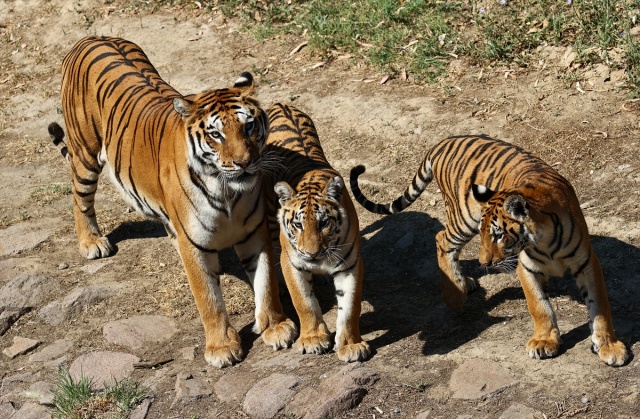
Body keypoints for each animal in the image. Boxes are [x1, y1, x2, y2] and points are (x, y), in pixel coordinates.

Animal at [48, 37, 298, 370]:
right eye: (216, 134)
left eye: (248, 127)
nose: (245, 163)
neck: (227, 191)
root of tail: (89, 38)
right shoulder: (194, 244)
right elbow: (209, 299)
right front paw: (221, 348)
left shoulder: (254, 232)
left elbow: (266, 282)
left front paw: (275, 327)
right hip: (84, 152)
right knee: (79, 197)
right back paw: (92, 242)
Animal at [262, 103, 370, 362]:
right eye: (298, 225)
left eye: (323, 223)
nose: (312, 254)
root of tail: (280, 104)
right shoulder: (292, 263)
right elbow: (304, 302)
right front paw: (313, 339)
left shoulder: (350, 264)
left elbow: (350, 307)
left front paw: (351, 345)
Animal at [348, 135, 628, 368]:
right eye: (488, 234)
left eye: (498, 235)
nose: (485, 263)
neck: (544, 241)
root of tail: (443, 141)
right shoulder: (525, 266)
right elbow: (539, 305)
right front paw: (544, 341)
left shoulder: (587, 262)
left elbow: (599, 306)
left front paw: (609, 346)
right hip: (463, 217)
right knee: (442, 239)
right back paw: (456, 295)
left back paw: (465, 282)